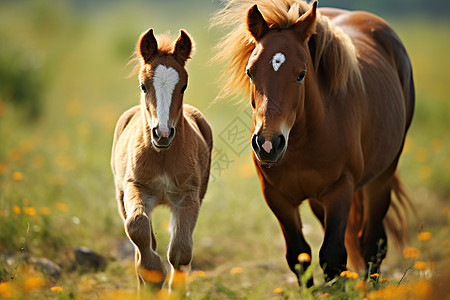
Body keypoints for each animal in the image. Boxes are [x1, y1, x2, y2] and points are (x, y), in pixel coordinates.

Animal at [111, 29, 212, 292]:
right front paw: (153, 273)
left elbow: (180, 252)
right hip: (121, 196)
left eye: (184, 86)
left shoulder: (188, 196)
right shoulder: (135, 187)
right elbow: (137, 226)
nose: (162, 133)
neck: (163, 155)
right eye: (143, 86)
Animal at [213, 0, 414, 284]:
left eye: (301, 74)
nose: (268, 144)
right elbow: (300, 256)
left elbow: (332, 255)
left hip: (382, 177)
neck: (302, 143)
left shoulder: (340, 189)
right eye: (250, 72)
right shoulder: (277, 196)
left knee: (373, 243)